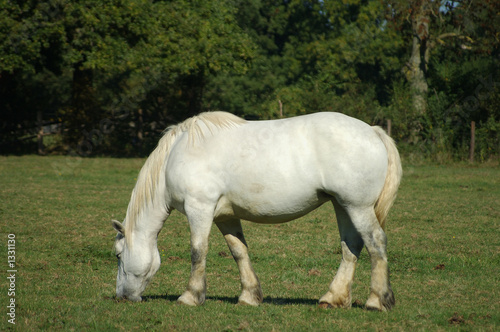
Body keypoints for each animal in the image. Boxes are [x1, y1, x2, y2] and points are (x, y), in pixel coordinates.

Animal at [113, 111, 402, 312]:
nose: (122, 297)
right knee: (351, 246)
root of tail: (373, 131)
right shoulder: (225, 216)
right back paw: (333, 298)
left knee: (376, 242)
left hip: (357, 207)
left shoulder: (200, 209)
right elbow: (239, 252)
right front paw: (249, 296)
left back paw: (377, 300)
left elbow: (198, 252)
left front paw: (191, 296)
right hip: (342, 205)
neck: (175, 156)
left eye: (117, 255)